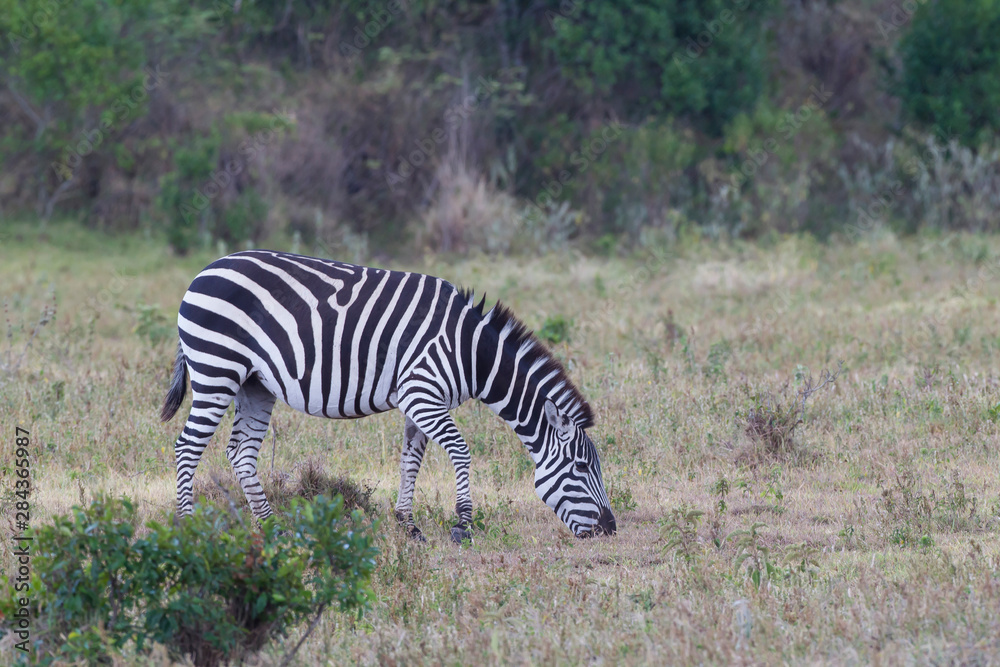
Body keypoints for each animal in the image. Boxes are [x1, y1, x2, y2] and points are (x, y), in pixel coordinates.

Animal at [160, 250, 616, 541]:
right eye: (581, 468)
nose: (610, 529)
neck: (469, 352)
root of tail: (202, 272)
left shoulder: (421, 401)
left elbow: (410, 461)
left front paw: (407, 526)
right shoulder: (423, 395)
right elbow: (461, 451)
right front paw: (463, 525)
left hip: (254, 384)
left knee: (240, 452)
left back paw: (272, 528)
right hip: (217, 369)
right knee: (187, 447)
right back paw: (187, 529)